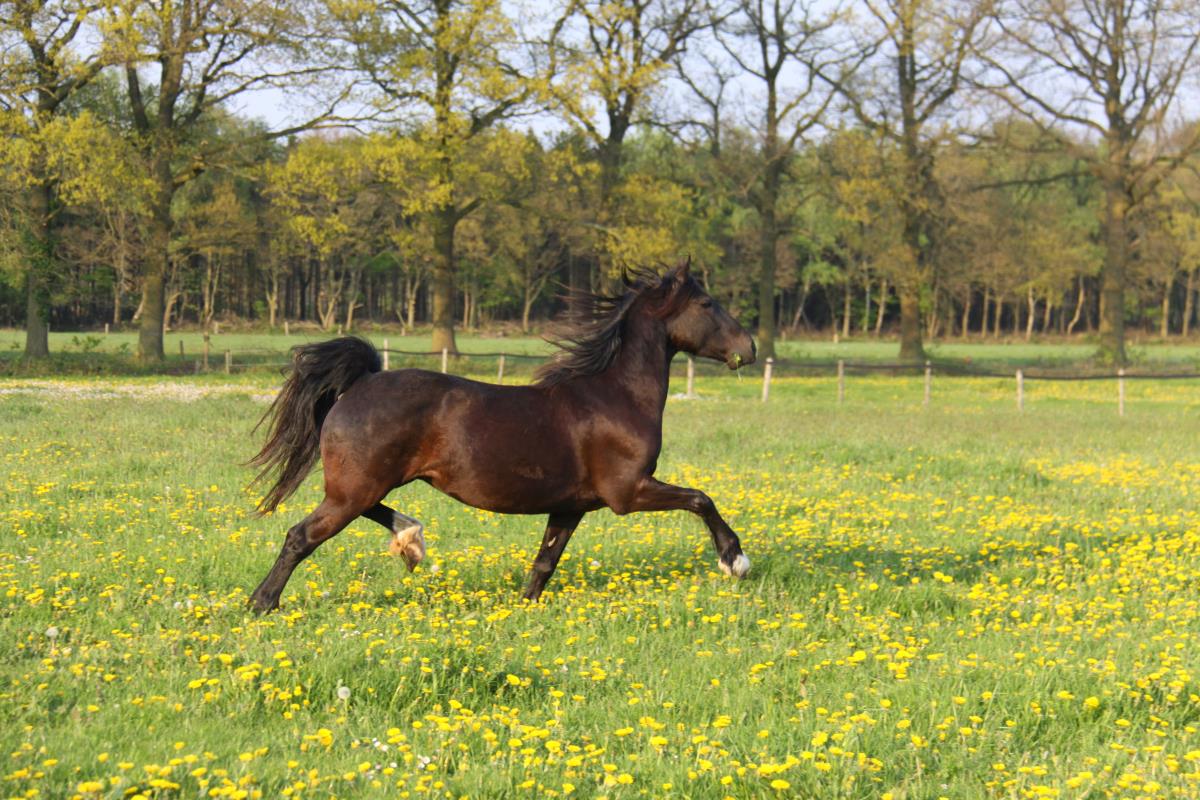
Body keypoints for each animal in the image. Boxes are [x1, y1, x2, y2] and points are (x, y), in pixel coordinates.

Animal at [244, 262, 753, 614]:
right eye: (707, 305)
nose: (748, 349)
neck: (616, 396)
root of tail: (363, 381)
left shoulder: (570, 505)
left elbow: (545, 562)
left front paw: (524, 608)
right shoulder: (628, 492)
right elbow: (701, 498)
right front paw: (735, 561)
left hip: (362, 485)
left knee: (365, 513)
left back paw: (410, 540)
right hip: (356, 487)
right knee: (301, 536)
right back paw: (262, 603)